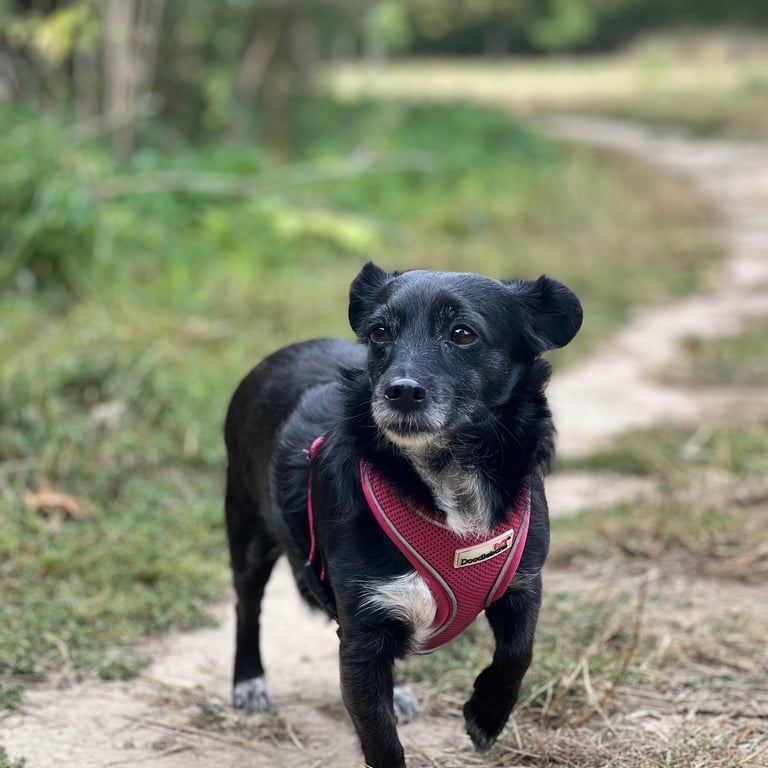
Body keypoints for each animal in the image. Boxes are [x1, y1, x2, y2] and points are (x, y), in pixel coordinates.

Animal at [224, 262, 582, 767]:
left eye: (463, 333)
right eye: (379, 332)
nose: (401, 392)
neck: (444, 470)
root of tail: (275, 356)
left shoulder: (522, 582)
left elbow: (519, 652)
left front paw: (486, 715)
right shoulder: (362, 631)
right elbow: (380, 738)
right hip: (248, 530)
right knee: (247, 607)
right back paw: (249, 681)